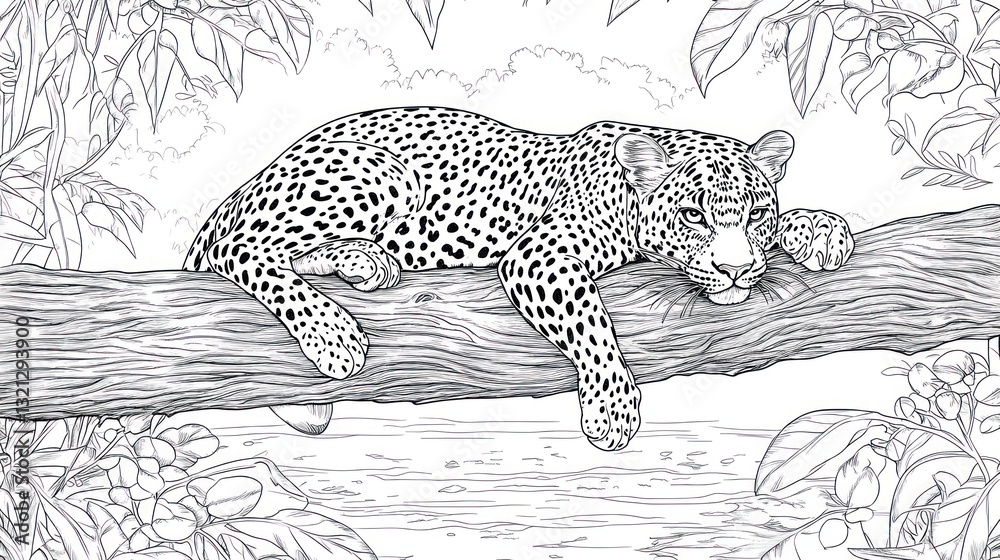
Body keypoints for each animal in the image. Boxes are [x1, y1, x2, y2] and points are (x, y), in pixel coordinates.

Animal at [183, 106, 854, 451]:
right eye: (694, 214)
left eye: (757, 213)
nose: (735, 270)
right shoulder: (542, 256)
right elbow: (593, 324)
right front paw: (612, 410)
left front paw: (820, 228)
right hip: (381, 176)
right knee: (241, 249)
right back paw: (333, 333)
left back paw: (363, 261)